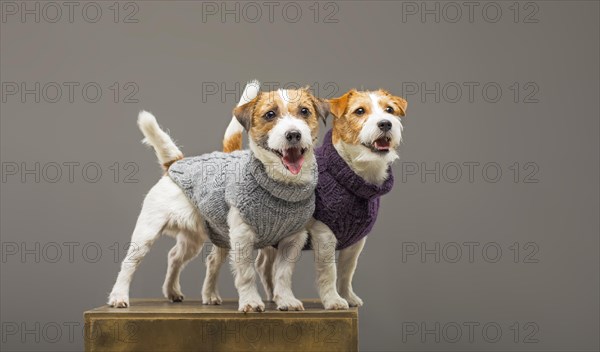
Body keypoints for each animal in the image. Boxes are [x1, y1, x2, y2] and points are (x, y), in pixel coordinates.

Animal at [109, 83, 330, 314]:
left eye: (304, 111)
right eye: (270, 114)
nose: (293, 134)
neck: (280, 185)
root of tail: (175, 164)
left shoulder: (293, 239)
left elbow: (283, 274)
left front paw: (286, 300)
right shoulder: (242, 237)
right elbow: (246, 273)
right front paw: (251, 301)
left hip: (200, 238)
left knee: (181, 257)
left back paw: (181, 292)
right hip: (147, 232)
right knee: (130, 262)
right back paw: (118, 296)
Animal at [213, 86, 406, 310]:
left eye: (389, 110)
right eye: (360, 111)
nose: (385, 123)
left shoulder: (356, 242)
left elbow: (347, 272)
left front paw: (347, 296)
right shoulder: (324, 235)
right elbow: (329, 272)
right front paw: (333, 300)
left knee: (263, 265)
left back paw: (274, 297)